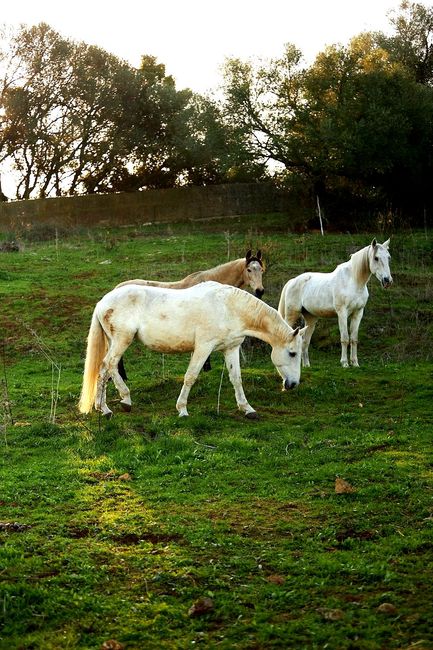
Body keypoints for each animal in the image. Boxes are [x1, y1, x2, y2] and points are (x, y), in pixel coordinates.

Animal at [78, 280, 308, 418]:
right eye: (292, 353)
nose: (293, 384)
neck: (229, 307)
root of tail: (103, 302)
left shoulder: (231, 349)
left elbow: (236, 379)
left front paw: (247, 409)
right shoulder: (203, 347)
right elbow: (191, 376)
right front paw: (182, 409)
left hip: (116, 341)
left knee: (107, 369)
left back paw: (114, 404)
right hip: (121, 340)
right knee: (107, 366)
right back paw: (114, 404)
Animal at [276, 239, 392, 370]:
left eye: (388, 257)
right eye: (376, 258)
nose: (387, 280)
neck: (353, 282)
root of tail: (292, 281)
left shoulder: (358, 313)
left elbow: (354, 339)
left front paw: (355, 363)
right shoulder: (342, 313)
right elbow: (345, 338)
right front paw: (345, 363)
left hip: (311, 319)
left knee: (305, 341)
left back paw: (306, 365)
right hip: (292, 315)